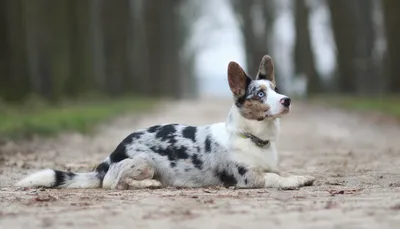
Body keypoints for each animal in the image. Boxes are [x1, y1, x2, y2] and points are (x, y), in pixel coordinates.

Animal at [15, 55, 316, 190]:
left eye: (276, 89)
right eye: (260, 94)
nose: (287, 100)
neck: (252, 137)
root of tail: (109, 157)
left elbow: (280, 171)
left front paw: (300, 175)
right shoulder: (248, 178)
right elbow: (275, 177)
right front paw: (296, 180)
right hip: (144, 162)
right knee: (112, 182)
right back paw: (148, 184)